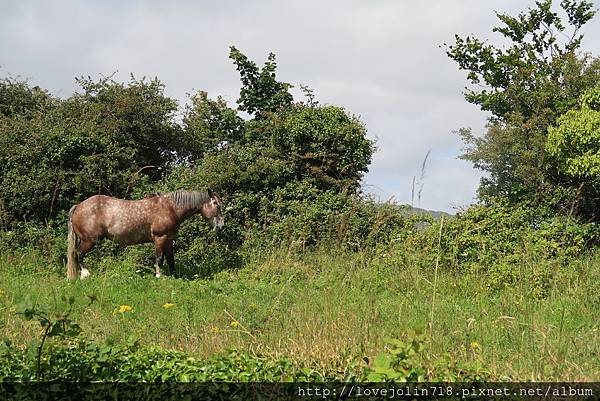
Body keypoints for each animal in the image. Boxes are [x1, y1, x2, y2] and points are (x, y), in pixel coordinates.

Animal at [65, 190, 224, 278]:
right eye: (216, 205)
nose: (221, 226)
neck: (170, 208)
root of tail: (78, 206)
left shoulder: (169, 240)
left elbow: (171, 259)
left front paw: (174, 276)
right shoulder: (160, 238)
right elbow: (159, 259)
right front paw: (159, 276)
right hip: (89, 241)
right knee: (79, 255)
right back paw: (85, 274)